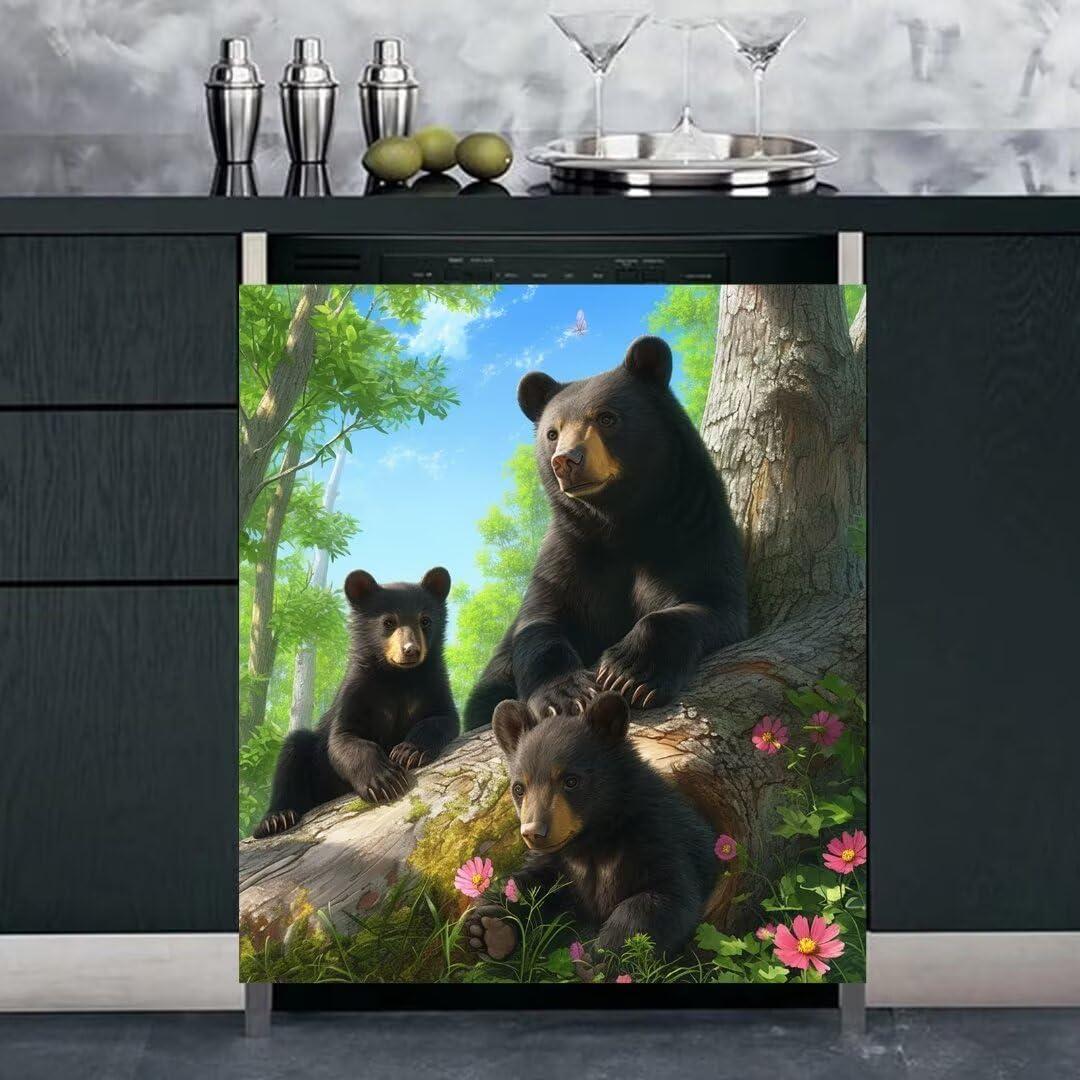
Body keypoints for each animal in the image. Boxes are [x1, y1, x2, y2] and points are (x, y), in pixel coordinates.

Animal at [252, 566, 459, 839]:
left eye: (425, 620)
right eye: (388, 622)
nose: (411, 650)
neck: (398, 678)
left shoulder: (434, 683)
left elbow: (443, 718)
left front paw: (408, 752)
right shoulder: (356, 690)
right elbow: (344, 738)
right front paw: (385, 780)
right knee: (292, 753)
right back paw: (276, 819)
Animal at [463, 334, 747, 730]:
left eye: (607, 417)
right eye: (552, 433)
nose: (566, 460)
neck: (620, 522)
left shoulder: (696, 529)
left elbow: (713, 603)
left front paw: (630, 672)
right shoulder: (567, 554)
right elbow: (539, 623)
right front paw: (565, 695)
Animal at [467, 692, 716, 964]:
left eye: (571, 781)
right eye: (519, 788)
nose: (534, 832)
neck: (593, 842)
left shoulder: (660, 836)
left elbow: (667, 895)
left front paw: (604, 954)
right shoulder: (558, 864)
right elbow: (526, 883)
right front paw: (491, 929)